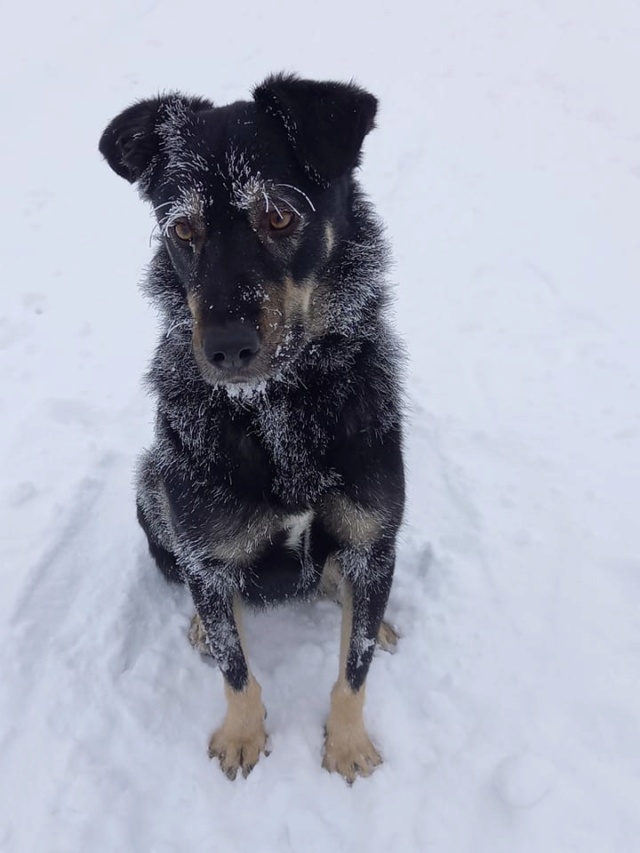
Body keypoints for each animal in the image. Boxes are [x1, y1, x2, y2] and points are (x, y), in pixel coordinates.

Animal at [100, 76, 404, 784]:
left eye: (280, 216)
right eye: (183, 228)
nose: (226, 348)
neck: (281, 408)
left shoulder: (372, 536)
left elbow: (354, 670)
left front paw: (347, 746)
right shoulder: (209, 558)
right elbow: (237, 669)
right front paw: (242, 735)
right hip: (152, 486)